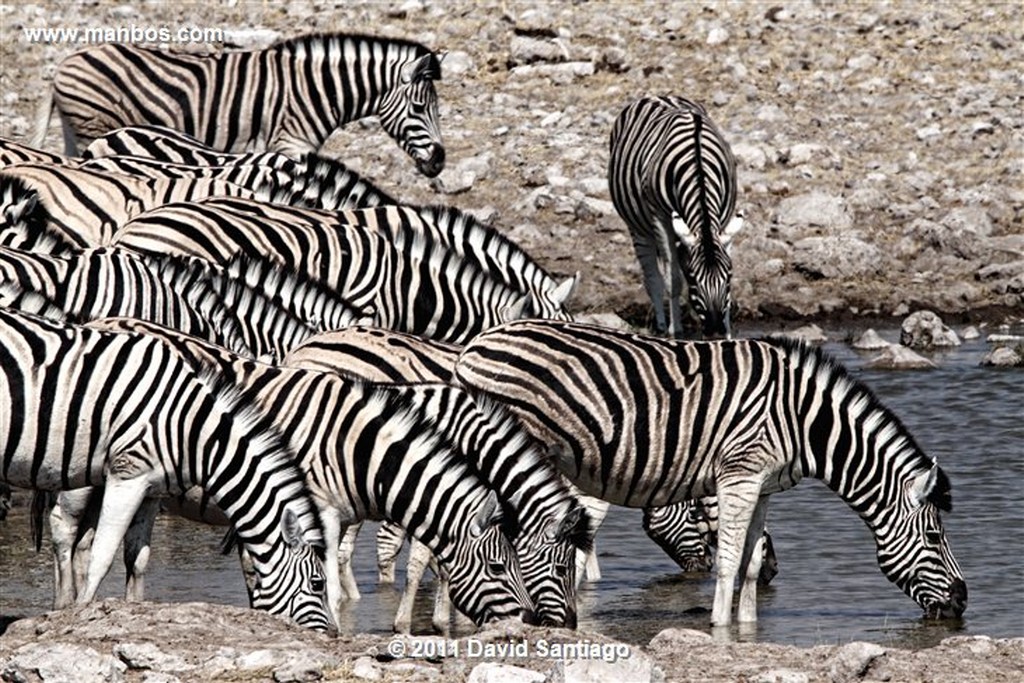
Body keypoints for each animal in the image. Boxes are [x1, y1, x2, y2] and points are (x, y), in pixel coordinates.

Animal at [0, 307, 333, 634]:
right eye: (318, 584)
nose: (330, 635)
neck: (191, 426)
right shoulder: (127, 474)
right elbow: (102, 556)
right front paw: (82, 613)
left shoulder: (150, 488)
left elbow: (137, 557)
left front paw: (133, 610)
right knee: (63, 526)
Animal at [37, 33, 444, 178]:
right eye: (419, 108)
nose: (439, 163)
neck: (316, 89)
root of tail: (63, 65)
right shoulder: (290, 143)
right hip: (94, 123)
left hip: (76, 130)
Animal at [456, 321, 966, 626]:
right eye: (936, 538)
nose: (963, 602)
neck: (802, 421)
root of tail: (477, 345)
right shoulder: (739, 474)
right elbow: (728, 560)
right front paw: (721, 627)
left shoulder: (763, 485)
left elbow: (750, 561)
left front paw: (748, 627)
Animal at [606, 94, 745, 339]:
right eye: (693, 279)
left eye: (728, 277)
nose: (716, 332)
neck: (698, 163)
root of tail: (656, 95)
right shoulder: (660, 217)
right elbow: (672, 279)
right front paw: (676, 330)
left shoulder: (725, 214)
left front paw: (728, 331)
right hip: (638, 228)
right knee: (652, 276)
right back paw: (663, 326)